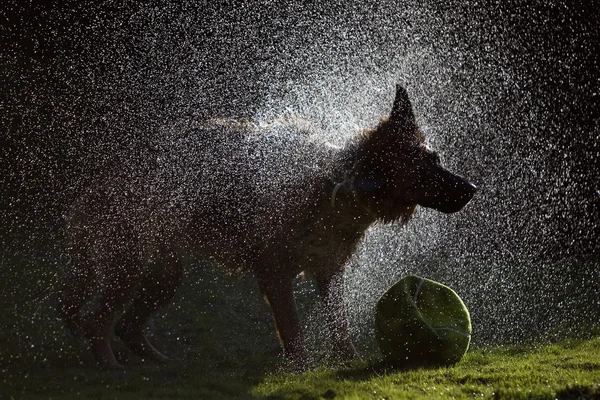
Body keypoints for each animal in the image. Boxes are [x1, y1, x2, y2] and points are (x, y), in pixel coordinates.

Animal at [58, 86, 476, 370]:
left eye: (436, 158)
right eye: (422, 171)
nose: (472, 188)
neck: (334, 188)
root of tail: (109, 172)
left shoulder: (328, 271)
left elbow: (339, 326)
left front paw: (349, 362)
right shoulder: (275, 272)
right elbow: (293, 327)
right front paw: (303, 369)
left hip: (164, 273)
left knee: (127, 325)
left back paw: (161, 363)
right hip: (130, 265)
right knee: (97, 321)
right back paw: (110, 366)